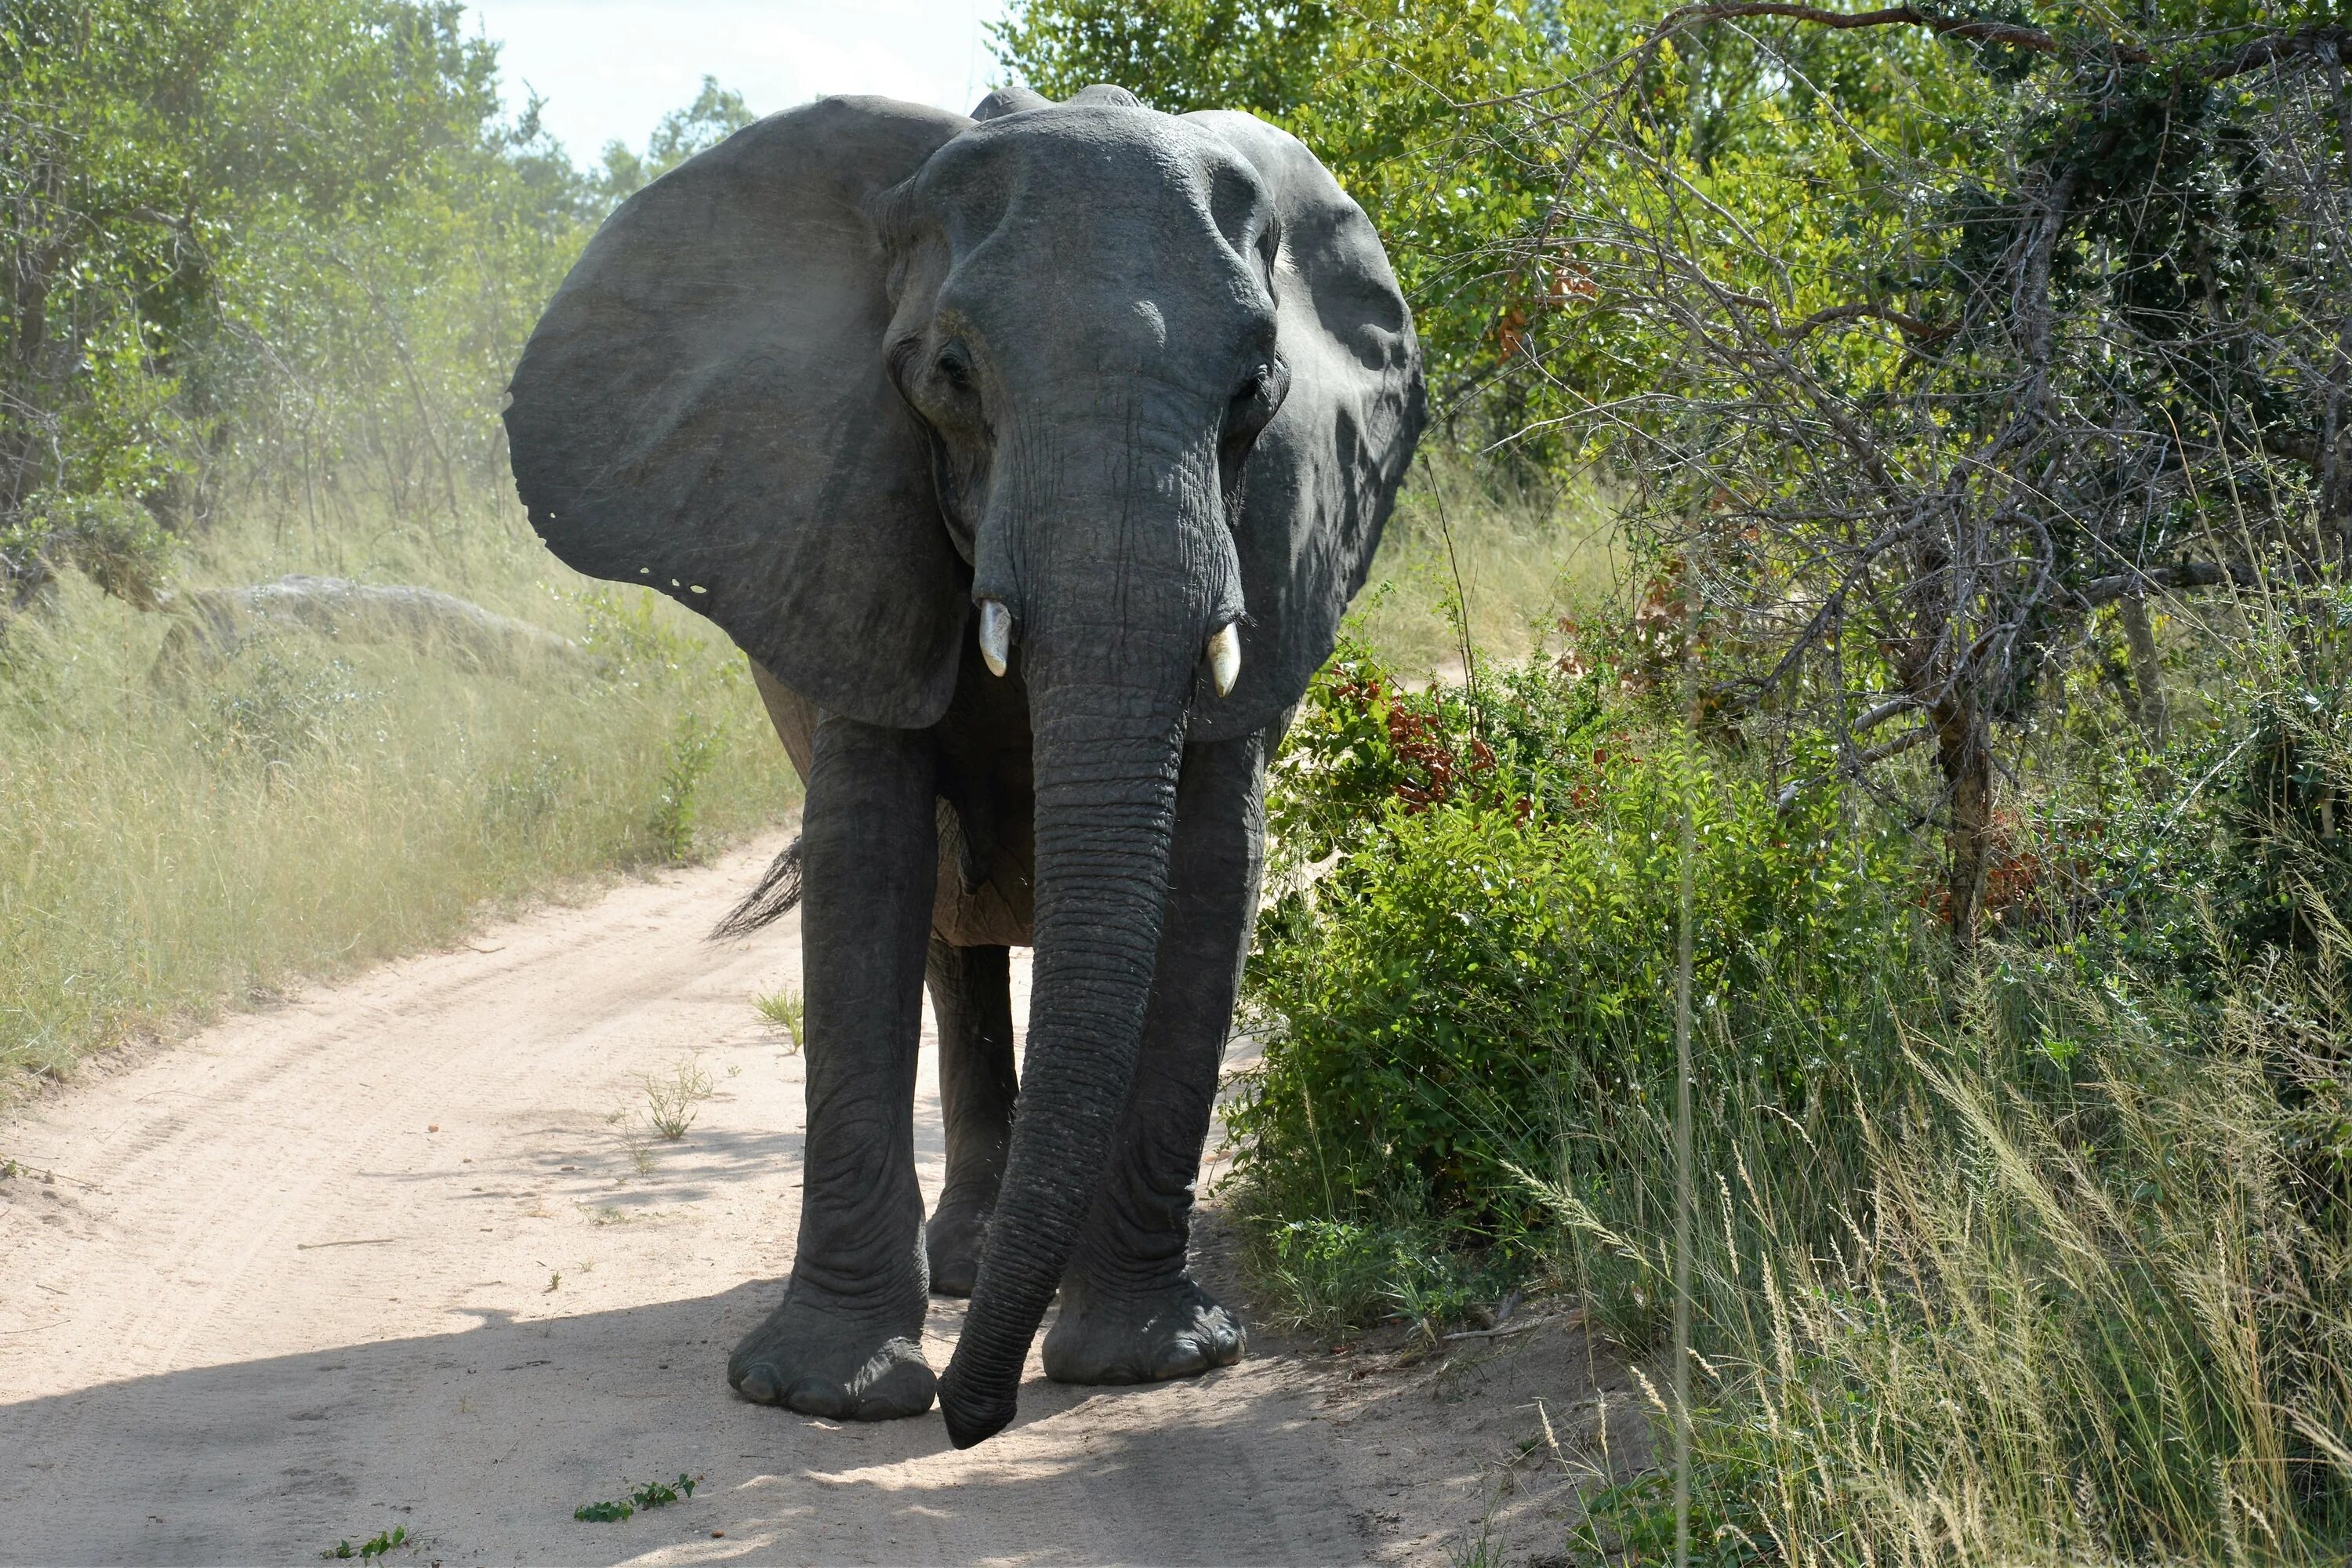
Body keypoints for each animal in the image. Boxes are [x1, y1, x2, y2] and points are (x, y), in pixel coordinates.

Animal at [506, 73, 1421, 1448]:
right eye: (948, 374)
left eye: (1258, 390)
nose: (968, 1421)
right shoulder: (840, 533)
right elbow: (868, 863)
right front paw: (825, 1396)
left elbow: (1215, 866)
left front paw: (1150, 1364)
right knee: (953, 936)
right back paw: (968, 1274)